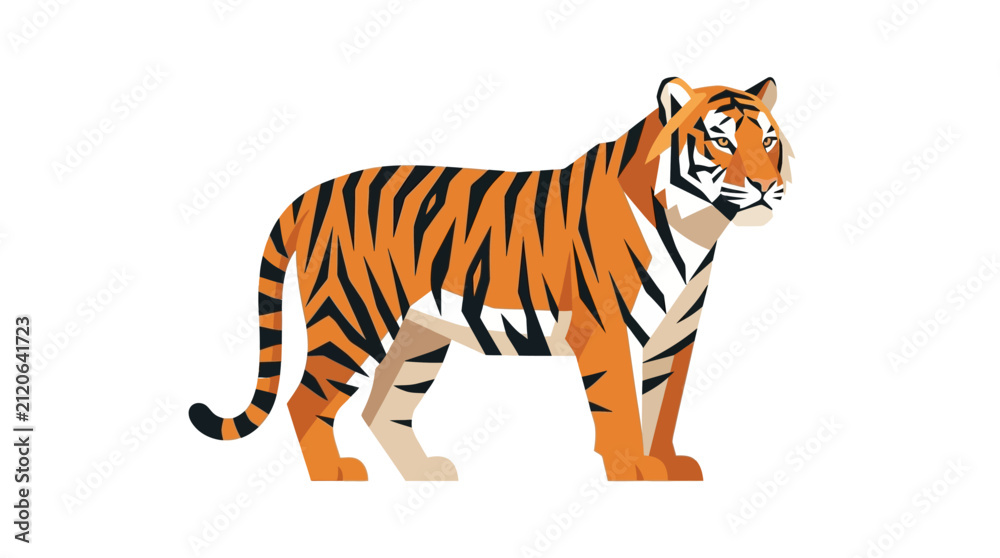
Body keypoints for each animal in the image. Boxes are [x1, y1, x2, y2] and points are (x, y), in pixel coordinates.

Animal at [190, 77, 794, 481]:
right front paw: (631, 469)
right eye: (721, 141)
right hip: (351, 316)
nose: (767, 185)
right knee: (306, 400)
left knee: (382, 409)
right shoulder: (605, 330)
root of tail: (312, 192)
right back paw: (332, 475)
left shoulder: (675, 336)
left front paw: (667, 463)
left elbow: (663, 403)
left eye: (768, 141)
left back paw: (425, 473)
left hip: (418, 337)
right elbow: (621, 404)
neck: (697, 226)